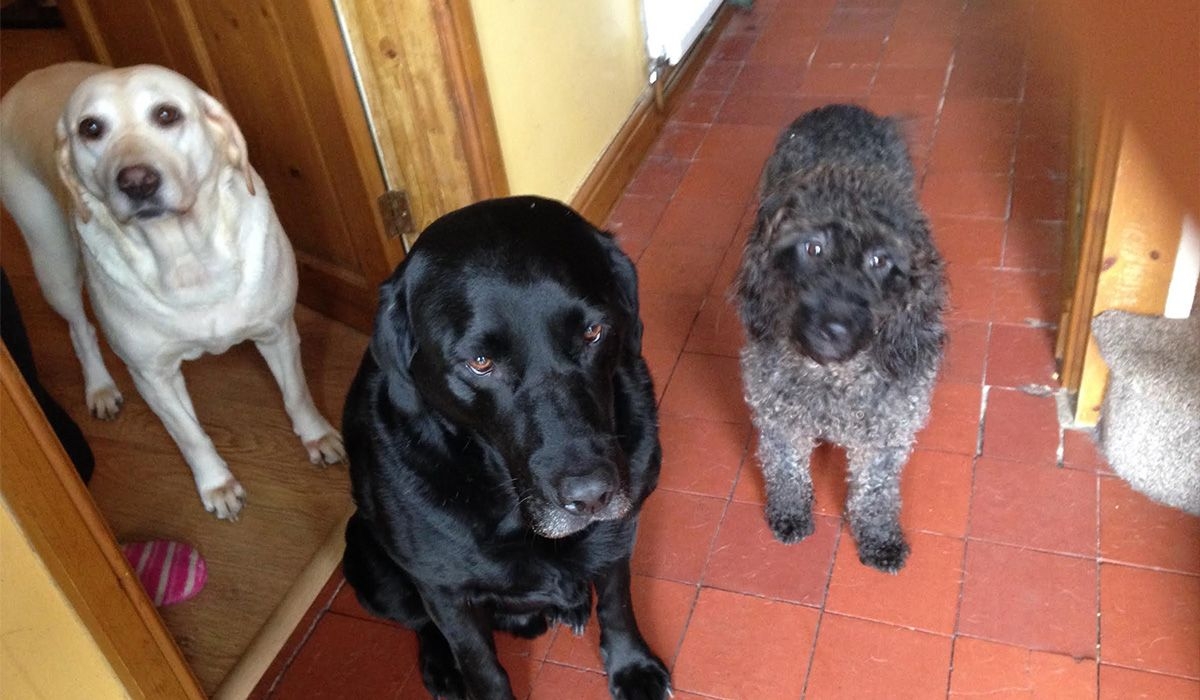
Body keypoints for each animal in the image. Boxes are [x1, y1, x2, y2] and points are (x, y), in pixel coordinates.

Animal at [734, 105, 940, 576]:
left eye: (880, 260)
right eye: (812, 248)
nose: (834, 326)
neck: (833, 377)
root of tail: (842, 108)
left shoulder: (886, 437)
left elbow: (875, 492)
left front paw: (878, 536)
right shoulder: (778, 418)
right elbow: (785, 468)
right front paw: (790, 510)